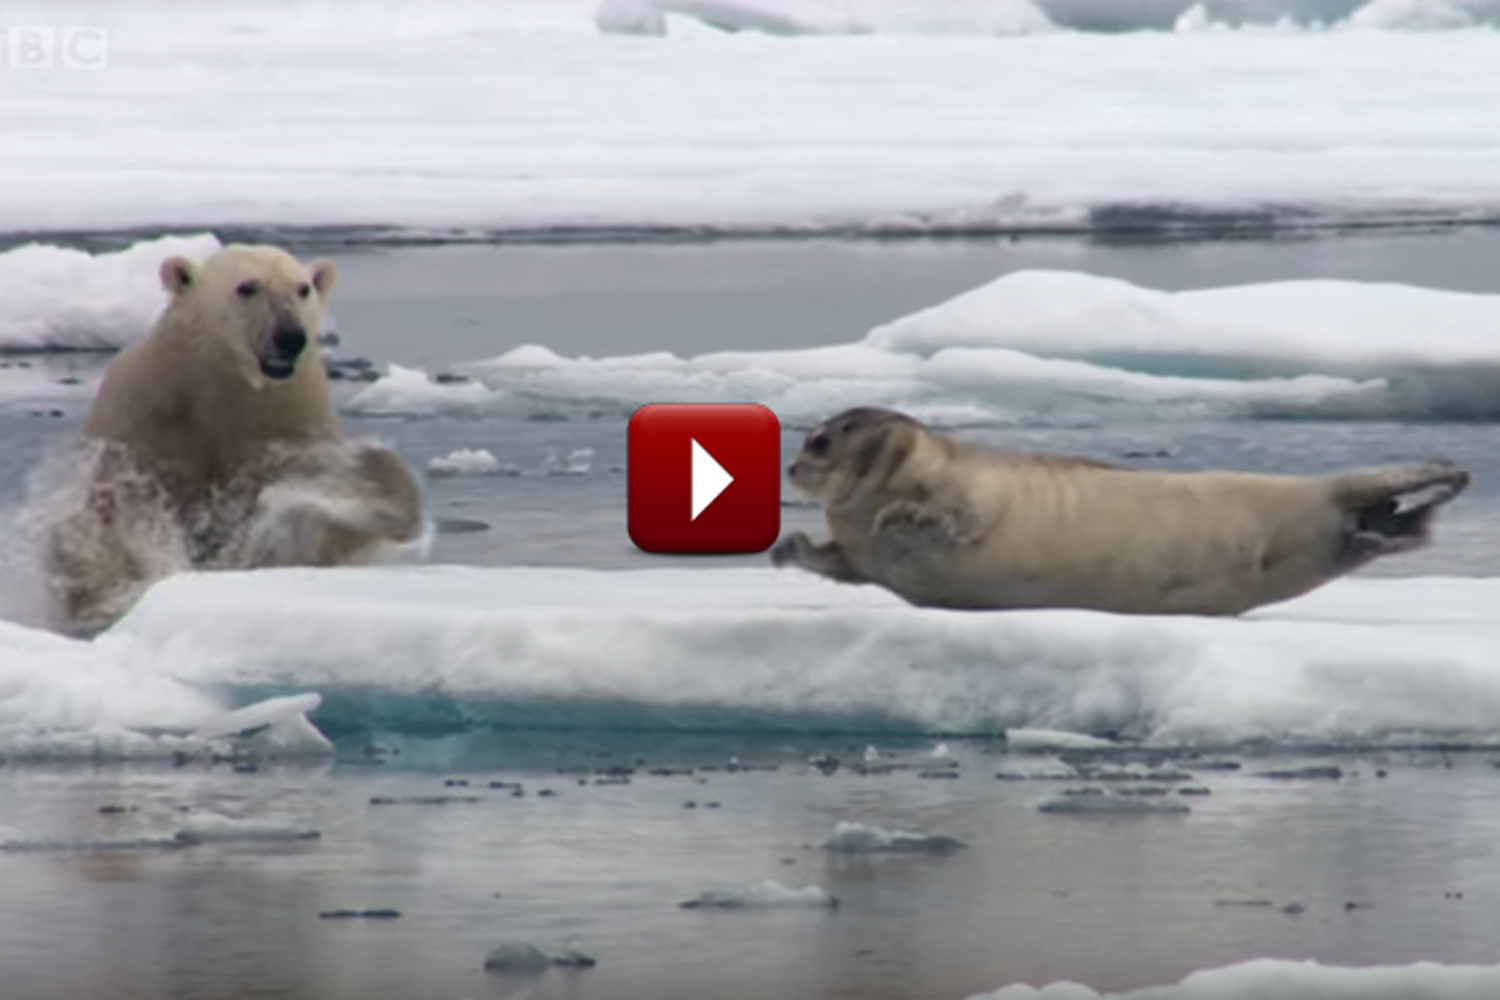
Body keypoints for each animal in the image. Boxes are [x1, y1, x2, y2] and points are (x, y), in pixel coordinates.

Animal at [46, 242, 423, 632]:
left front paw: (376, 481)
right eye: (247, 287)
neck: (224, 388)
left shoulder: (290, 421)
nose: (290, 337)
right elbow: (116, 515)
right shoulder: (143, 414)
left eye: (302, 288)